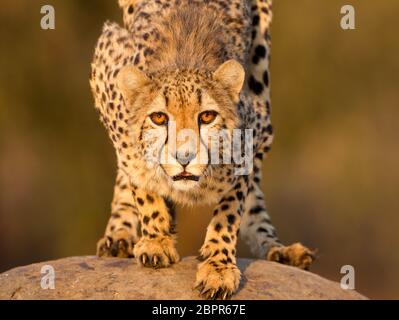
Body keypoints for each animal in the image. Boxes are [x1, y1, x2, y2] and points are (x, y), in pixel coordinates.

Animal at [90, 0, 316, 300]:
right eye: (159, 118)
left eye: (207, 116)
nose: (184, 158)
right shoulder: (108, 72)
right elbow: (140, 179)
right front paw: (156, 240)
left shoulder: (251, 137)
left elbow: (229, 212)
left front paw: (218, 267)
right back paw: (119, 236)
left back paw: (277, 248)